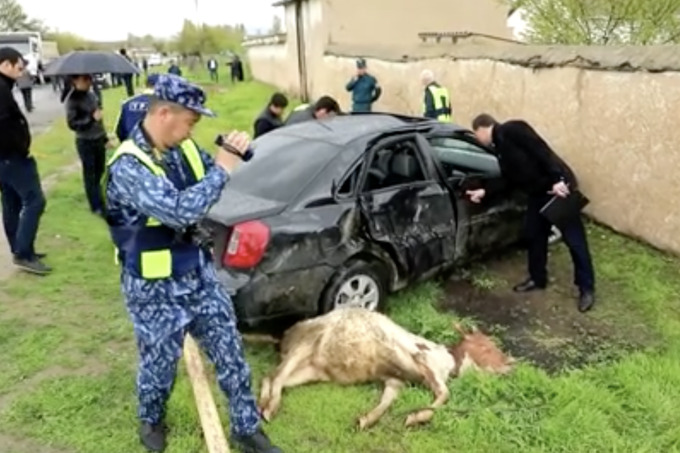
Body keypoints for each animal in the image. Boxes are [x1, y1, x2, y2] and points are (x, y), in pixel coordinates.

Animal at [258, 308, 512, 428]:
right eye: (486, 346)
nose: (511, 363)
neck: (449, 361)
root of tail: (284, 336)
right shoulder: (421, 359)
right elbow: (444, 394)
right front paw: (415, 417)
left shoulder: (394, 380)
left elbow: (387, 401)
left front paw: (366, 420)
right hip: (307, 342)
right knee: (277, 376)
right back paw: (270, 409)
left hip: (311, 370)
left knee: (271, 376)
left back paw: (262, 403)